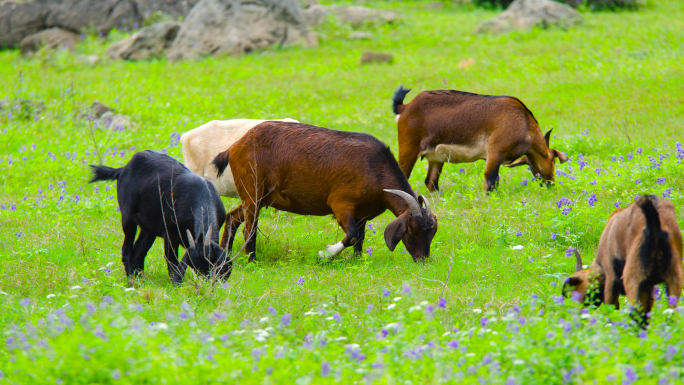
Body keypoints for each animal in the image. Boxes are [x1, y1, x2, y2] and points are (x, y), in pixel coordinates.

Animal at [89, 148, 230, 284]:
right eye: (194, 266)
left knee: (139, 251)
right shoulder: (170, 235)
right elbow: (172, 261)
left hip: (149, 227)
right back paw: (131, 281)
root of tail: (123, 169)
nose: (205, 282)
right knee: (127, 249)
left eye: (211, 262)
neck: (201, 197)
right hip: (128, 217)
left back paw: (140, 279)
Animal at [210, 121, 438, 262]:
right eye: (411, 230)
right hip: (254, 193)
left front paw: (357, 261)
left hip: (259, 197)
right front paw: (326, 254)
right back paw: (252, 260)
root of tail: (235, 146)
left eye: (432, 232)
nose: (422, 260)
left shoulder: (363, 214)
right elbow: (352, 235)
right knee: (249, 229)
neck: (375, 167)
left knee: (232, 218)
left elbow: (360, 239)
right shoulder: (341, 204)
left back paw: (225, 254)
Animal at [390, 85, 568, 190]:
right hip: (409, 147)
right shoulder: (495, 152)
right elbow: (490, 181)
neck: (524, 123)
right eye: (553, 161)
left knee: (431, 182)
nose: (550, 183)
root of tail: (405, 107)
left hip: (436, 157)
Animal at [564, 195, 680, 328]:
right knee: (671, 313)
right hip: (674, 276)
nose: (578, 316)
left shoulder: (611, 281)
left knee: (635, 312)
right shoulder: (648, 287)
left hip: (632, 278)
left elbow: (611, 310)